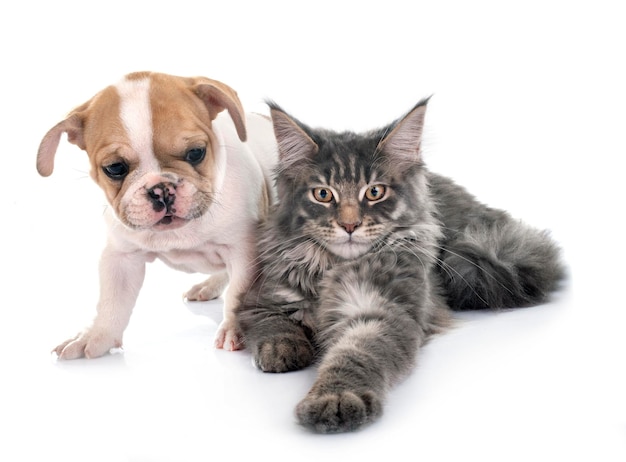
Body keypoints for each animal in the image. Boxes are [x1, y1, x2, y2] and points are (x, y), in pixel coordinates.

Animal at [36, 72, 276, 360]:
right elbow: (111, 302)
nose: (162, 189)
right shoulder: (122, 257)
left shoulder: (245, 251)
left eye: (196, 152)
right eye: (114, 168)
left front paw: (234, 328)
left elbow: (239, 292)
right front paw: (94, 335)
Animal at [236, 98, 564, 434]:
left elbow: (354, 356)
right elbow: (273, 326)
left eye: (375, 192)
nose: (349, 225)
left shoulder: (381, 313)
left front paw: (336, 398)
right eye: (323, 194)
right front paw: (282, 350)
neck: (332, 267)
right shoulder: (261, 300)